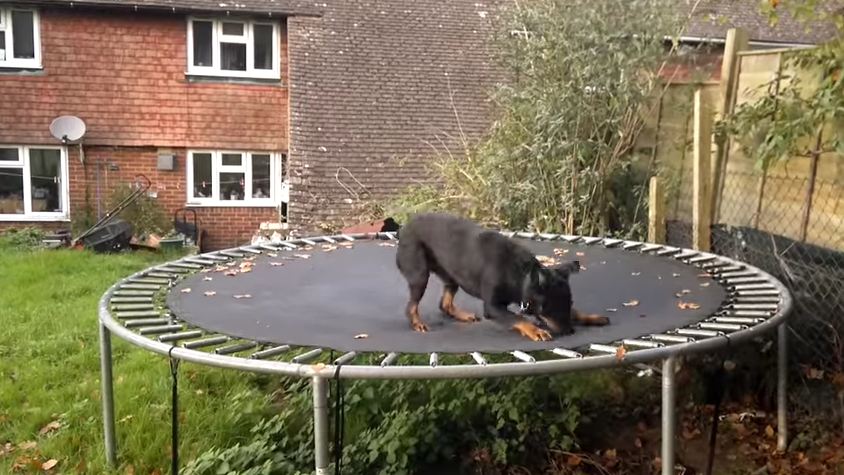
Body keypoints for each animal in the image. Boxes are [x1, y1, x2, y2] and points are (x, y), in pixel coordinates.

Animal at [396, 213, 608, 342]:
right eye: (552, 308)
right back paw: (417, 323)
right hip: (419, 276)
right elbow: (517, 318)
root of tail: (403, 228)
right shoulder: (493, 308)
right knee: (411, 306)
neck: (519, 274)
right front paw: (536, 330)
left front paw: (591, 317)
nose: (570, 331)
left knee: (444, 303)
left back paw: (461, 315)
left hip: (451, 275)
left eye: (569, 303)